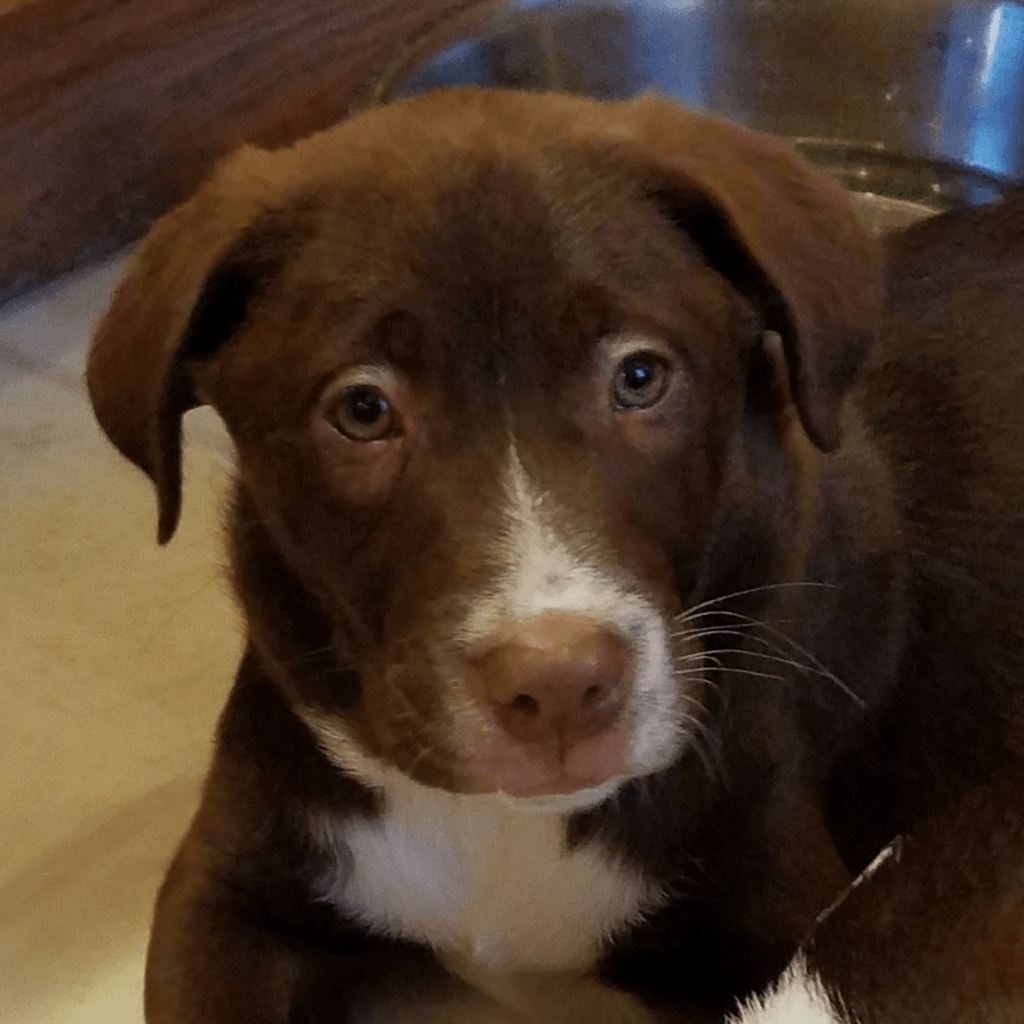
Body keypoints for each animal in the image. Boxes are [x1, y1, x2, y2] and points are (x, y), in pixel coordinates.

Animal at [86, 90, 1024, 1024]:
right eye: (362, 409)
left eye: (640, 377)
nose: (561, 684)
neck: (502, 827)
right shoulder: (225, 887)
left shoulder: (781, 908)